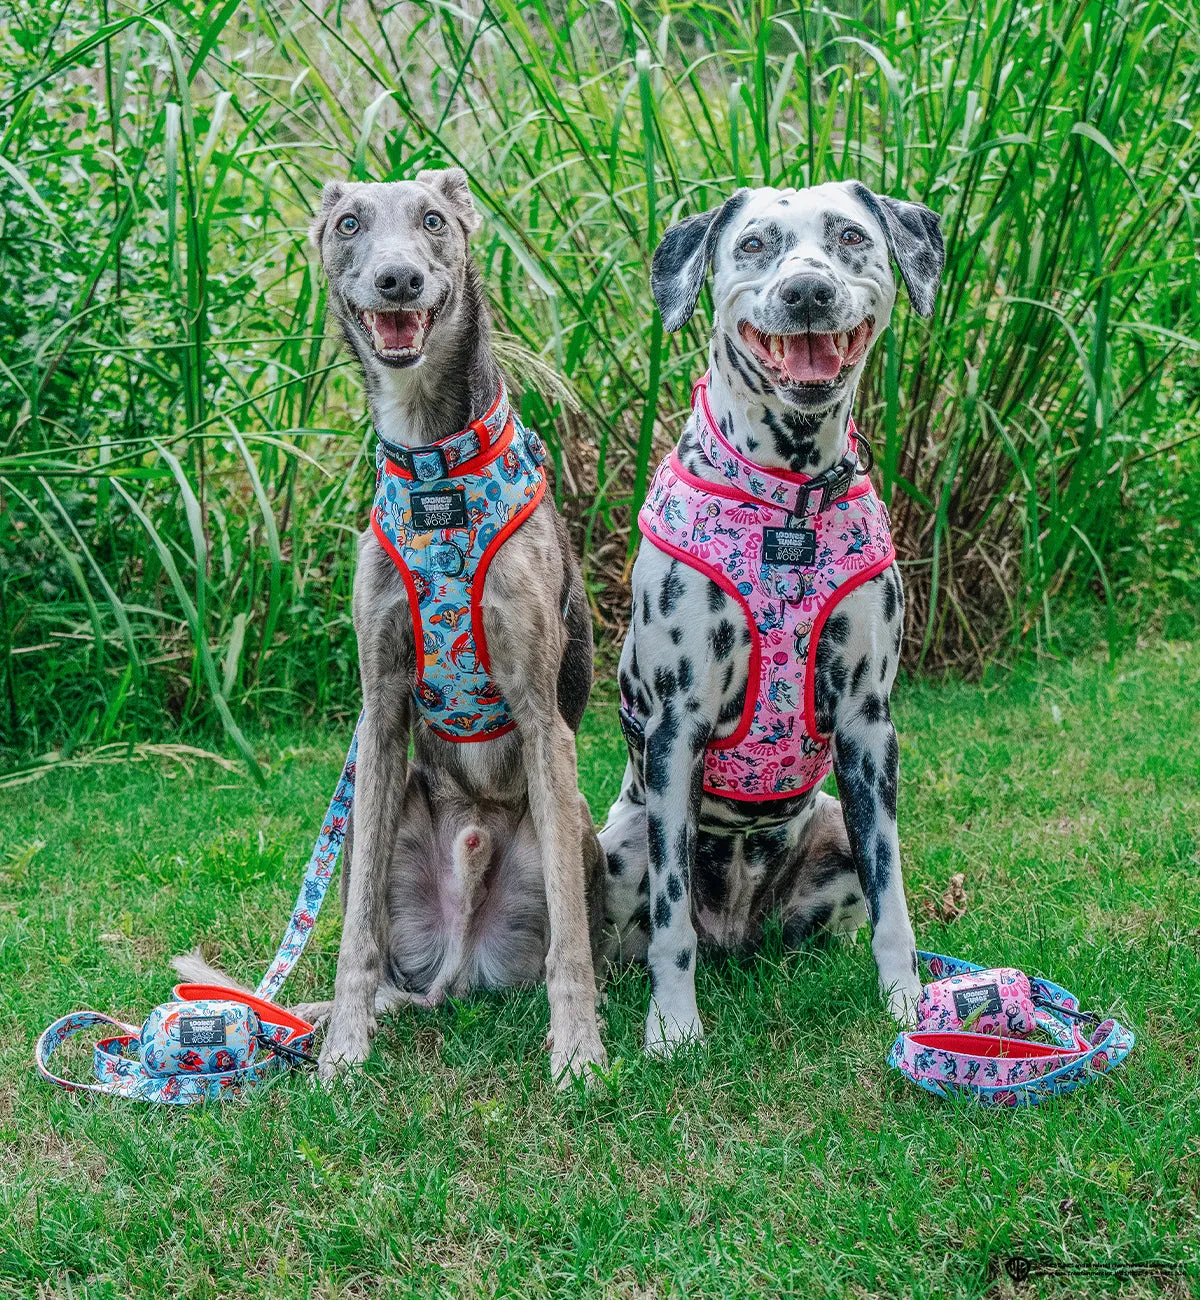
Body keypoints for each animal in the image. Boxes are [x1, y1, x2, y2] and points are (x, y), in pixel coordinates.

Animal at [175, 172, 611, 1086]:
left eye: (434, 220)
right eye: (348, 224)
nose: (398, 279)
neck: (434, 469)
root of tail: (455, 971)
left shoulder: (543, 716)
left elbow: (572, 948)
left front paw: (580, 1055)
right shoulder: (376, 716)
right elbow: (354, 941)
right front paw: (343, 1050)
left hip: (578, 820)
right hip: (379, 824)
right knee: (374, 940)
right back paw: (328, 1017)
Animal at [600, 183, 946, 1055]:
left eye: (850, 237)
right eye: (755, 243)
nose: (808, 292)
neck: (787, 503)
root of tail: (736, 925)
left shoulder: (868, 725)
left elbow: (895, 902)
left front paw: (909, 1007)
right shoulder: (677, 728)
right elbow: (670, 921)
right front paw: (672, 1030)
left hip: (833, 836)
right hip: (616, 847)